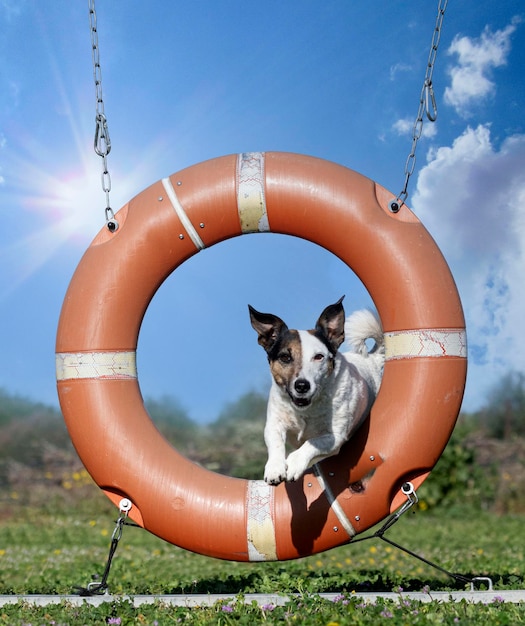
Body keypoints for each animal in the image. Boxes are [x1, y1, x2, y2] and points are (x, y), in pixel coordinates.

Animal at [248, 296, 382, 482]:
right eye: (285, 357)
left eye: (319, 357)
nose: (302, 386)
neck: (306, 409)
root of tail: (372, 358)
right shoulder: (275, 423)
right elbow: (275, 442)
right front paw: (275, 468)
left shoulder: (334, 437)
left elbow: (311, 443)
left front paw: (294, 463)